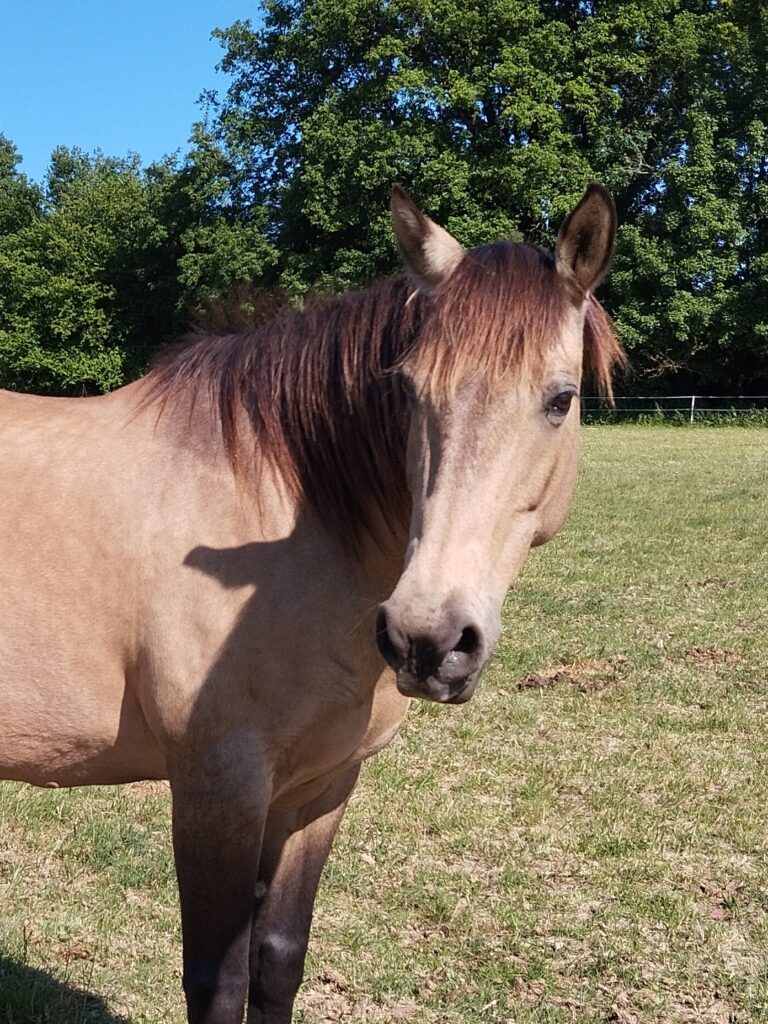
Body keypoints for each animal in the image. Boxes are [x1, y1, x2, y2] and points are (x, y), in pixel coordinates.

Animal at [0, 184, 623, 1023]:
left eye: (561, 399)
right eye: (408, 391)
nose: (427, 639)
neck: (286, 510)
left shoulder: (319, 788)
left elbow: (277, 960)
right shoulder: (220, 787)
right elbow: (219, 979)